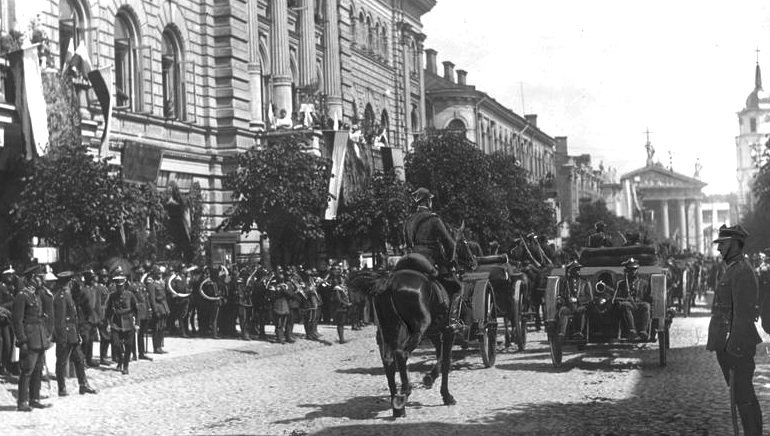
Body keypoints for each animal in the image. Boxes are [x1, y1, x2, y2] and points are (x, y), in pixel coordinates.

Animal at [352, 223, 476, 418]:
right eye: (464, 242)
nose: (473, 262)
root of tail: (388, 281)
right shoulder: (448, 331)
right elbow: (446, 360)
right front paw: (446, 395)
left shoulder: (434, 333)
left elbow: (440, 355)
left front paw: (430, 378)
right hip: (416, 330)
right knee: (401, 354)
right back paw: (405, 392)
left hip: (387, 333)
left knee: (389, 362)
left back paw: (398, 406)